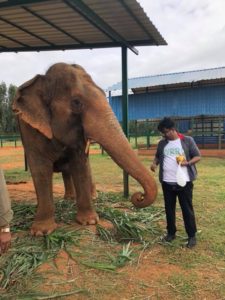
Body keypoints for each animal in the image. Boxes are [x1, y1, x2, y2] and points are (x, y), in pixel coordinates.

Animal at [12, 63, 156, 237]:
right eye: (76, 102)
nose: (138, 196)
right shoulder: (29, 127)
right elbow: (40, 169)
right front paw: (42, 232)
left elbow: (80, 164)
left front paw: (90, 222)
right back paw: (67, 200)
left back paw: (83, 198)